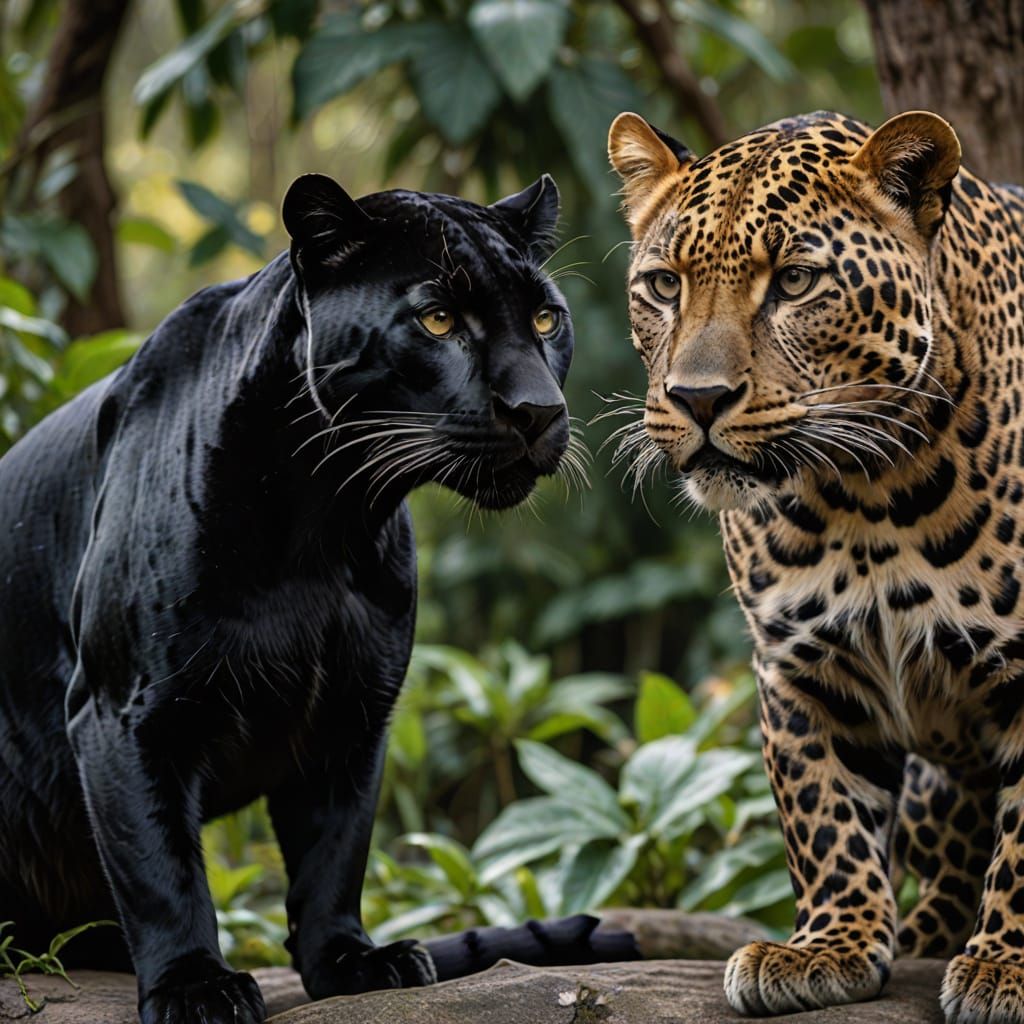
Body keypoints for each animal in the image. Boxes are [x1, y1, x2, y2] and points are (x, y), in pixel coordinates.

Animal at [608, 107, 1024, 1022]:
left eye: (796, 282)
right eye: (664, 286)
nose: (697, 399)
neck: (868, 496)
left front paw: (1009, 965)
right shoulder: (801, 666)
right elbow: (822, 812)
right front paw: (828, 947)